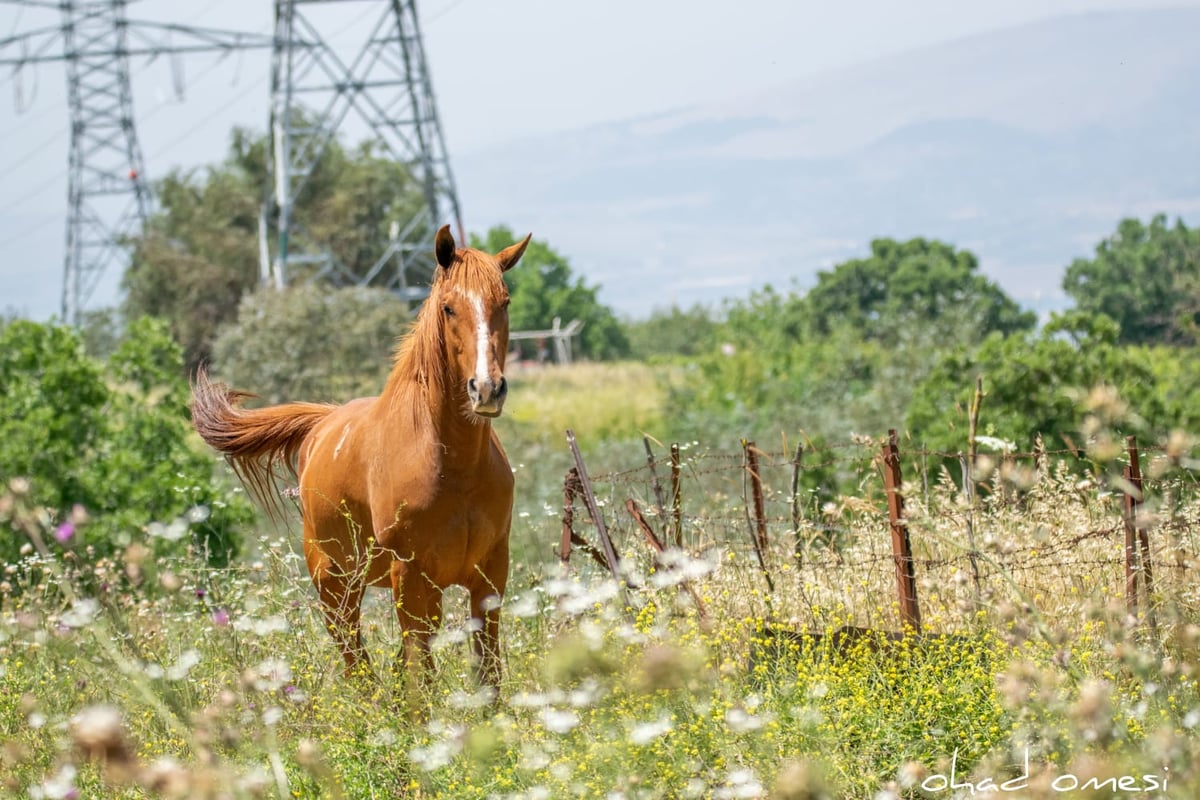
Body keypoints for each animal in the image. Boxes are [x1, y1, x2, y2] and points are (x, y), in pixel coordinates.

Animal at [192, 225, 530, 695]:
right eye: (448, 307)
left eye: (505, 302)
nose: (487, 389)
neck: (454, 465)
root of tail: (322, 422)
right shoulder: (411, 578)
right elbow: (421, 676)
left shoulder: (489, 575)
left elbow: (488, 673)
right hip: (335, 586)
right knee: (356, 661)